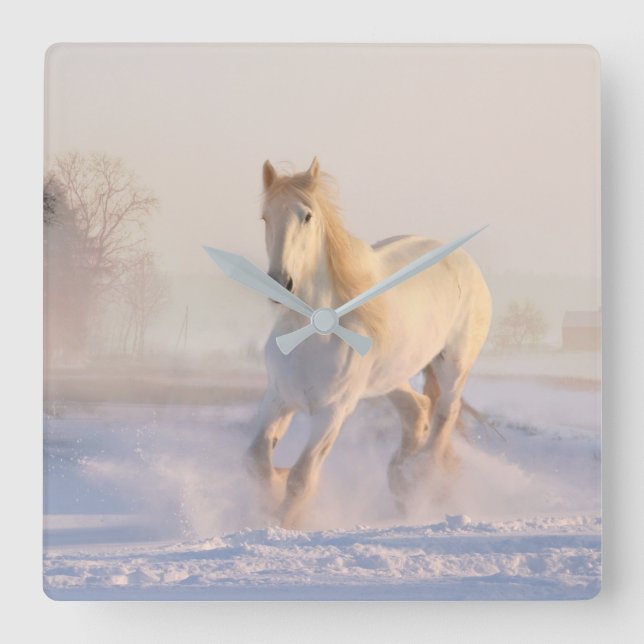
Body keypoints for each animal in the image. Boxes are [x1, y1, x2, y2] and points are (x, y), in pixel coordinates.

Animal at [246, 157, 492, 528]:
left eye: (307, 216)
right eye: (265, 217)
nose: (280, 282)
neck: (309, 334)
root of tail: (464, 260)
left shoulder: (333, 412)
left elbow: (302, 478)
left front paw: (285, 521)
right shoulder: (279, 397)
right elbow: (258, 460)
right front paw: (273, 489)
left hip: (454, 365)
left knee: (444, 415)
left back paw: (421, 478)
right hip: (389, 377)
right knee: (417, 410)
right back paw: (401, 480)